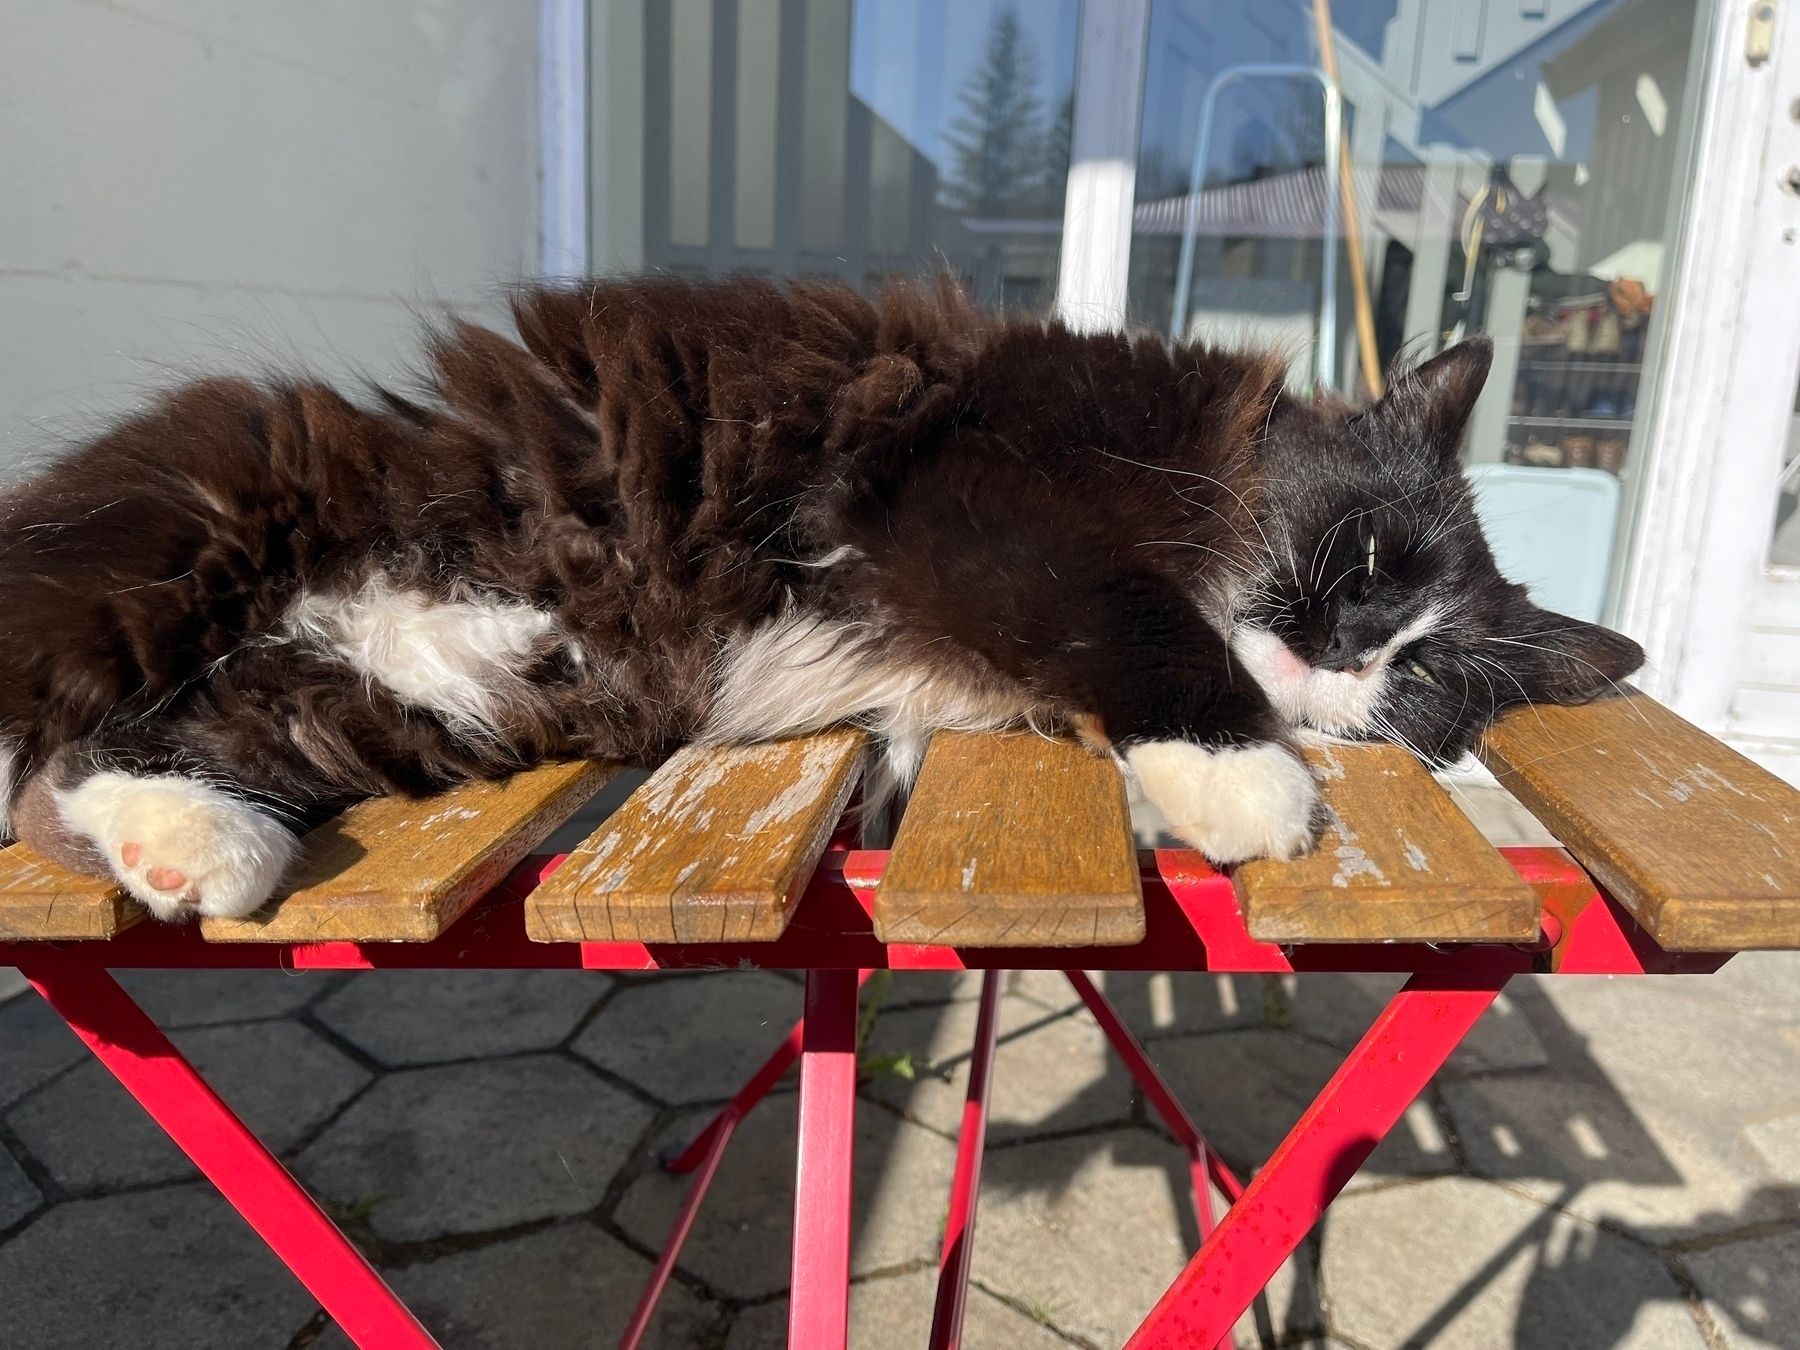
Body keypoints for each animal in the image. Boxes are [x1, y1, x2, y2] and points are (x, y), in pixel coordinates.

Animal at [0, 280, 1641, 928]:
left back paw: (191, 847)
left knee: (95, 765)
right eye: (1359, 561)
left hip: (386, 703)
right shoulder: (981, 504)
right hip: (185, 528)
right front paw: (1252, 781)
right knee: (52, 730)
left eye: (1421, 678)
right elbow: (1145, 628)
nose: (1342, 654)